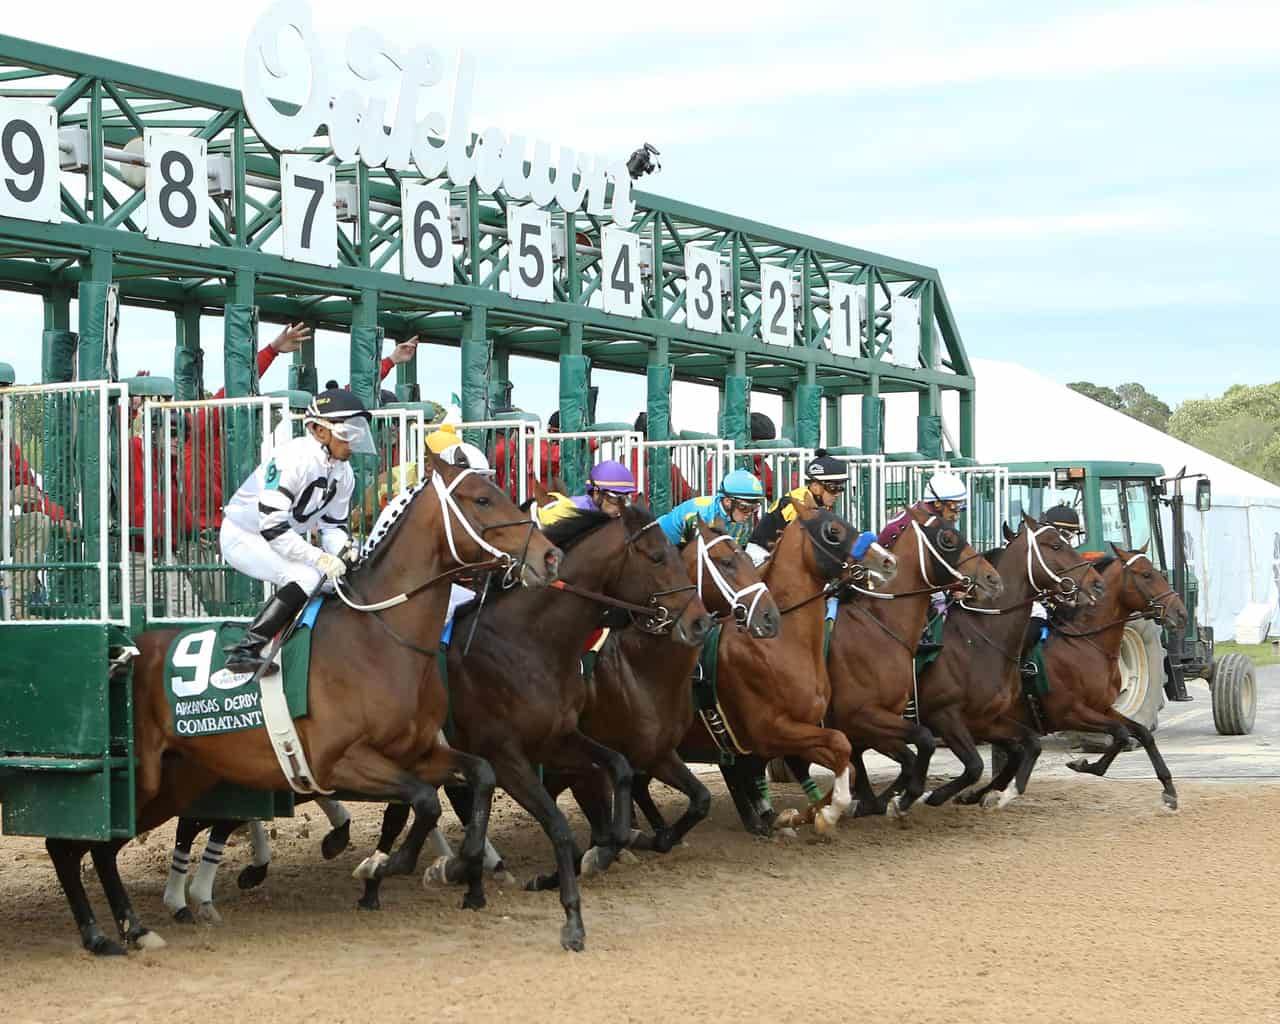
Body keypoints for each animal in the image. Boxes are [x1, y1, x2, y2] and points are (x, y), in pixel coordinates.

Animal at [48, 453, 560, 957]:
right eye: (482, 499)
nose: (549, 555)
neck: (380, 637)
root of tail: (123, 651)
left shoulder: (418, 752)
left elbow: (479, 775)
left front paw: (452, 865)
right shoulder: (339, 762)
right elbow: (424, 800)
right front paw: (385, 865)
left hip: (175, 778)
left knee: (100, 847)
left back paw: (133, 928)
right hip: (141, 779)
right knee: (67, 844)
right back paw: (99, 934)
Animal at [360, 501, 716, 952]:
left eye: (675, 555)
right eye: (656, 557)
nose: (700, 622)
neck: (528, 642)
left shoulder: (558, 741)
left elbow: (620, 774)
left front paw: (608, 850)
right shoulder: (508, 757)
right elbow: (560, 827)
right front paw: (572, 917)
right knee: (398, 814)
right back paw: (378, 884)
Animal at [916, 517, 1105, 814]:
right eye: (1056, 544)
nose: (1097, 583)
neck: (979, 638)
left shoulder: (983, 719)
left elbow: (1029, 745)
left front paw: (1000, 794)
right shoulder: (943, 715)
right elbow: (975, 765)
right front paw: (928, 796)